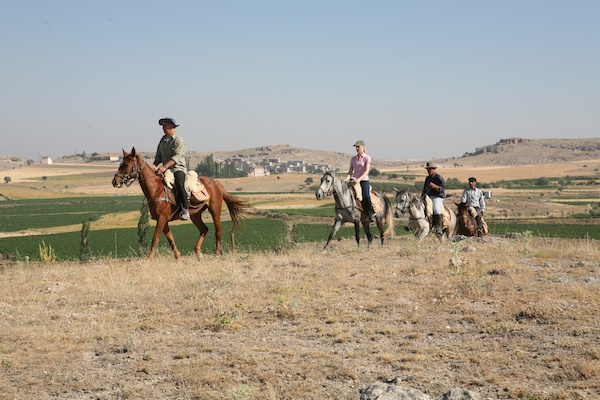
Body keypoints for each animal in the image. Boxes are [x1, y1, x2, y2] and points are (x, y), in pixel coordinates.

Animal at [112, 147, 251, 260]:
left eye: (126, 164)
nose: (115, 181)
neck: (157, 189)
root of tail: (215, 183)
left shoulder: (161, 219)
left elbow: (155, 238)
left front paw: (149, 258)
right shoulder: (163, 220)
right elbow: (171, 239)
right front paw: (178, 257)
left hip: (215, 211)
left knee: (218, 231)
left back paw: (216, 254)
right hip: (195, 215)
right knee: (204, 229)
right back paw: (198, 252)